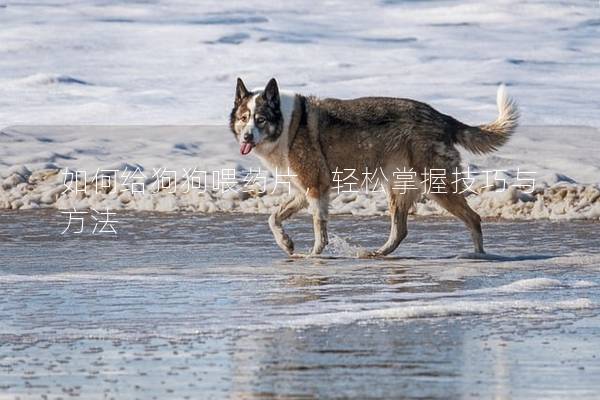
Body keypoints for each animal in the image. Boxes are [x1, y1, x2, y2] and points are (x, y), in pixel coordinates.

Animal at [230, 78, 520, 256]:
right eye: (243, 118)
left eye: (260, 119)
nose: (246, 137)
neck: (287, 126)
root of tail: (442, 118)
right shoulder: (304, 192)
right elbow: (273, 218)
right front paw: (287, 244)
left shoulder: (316, 189)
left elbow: (319, 229)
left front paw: (314, 255)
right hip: (398, 188)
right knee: (400, 230)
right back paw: (379, 253)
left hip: (436, 184)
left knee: (473, 218)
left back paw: (479, 255)